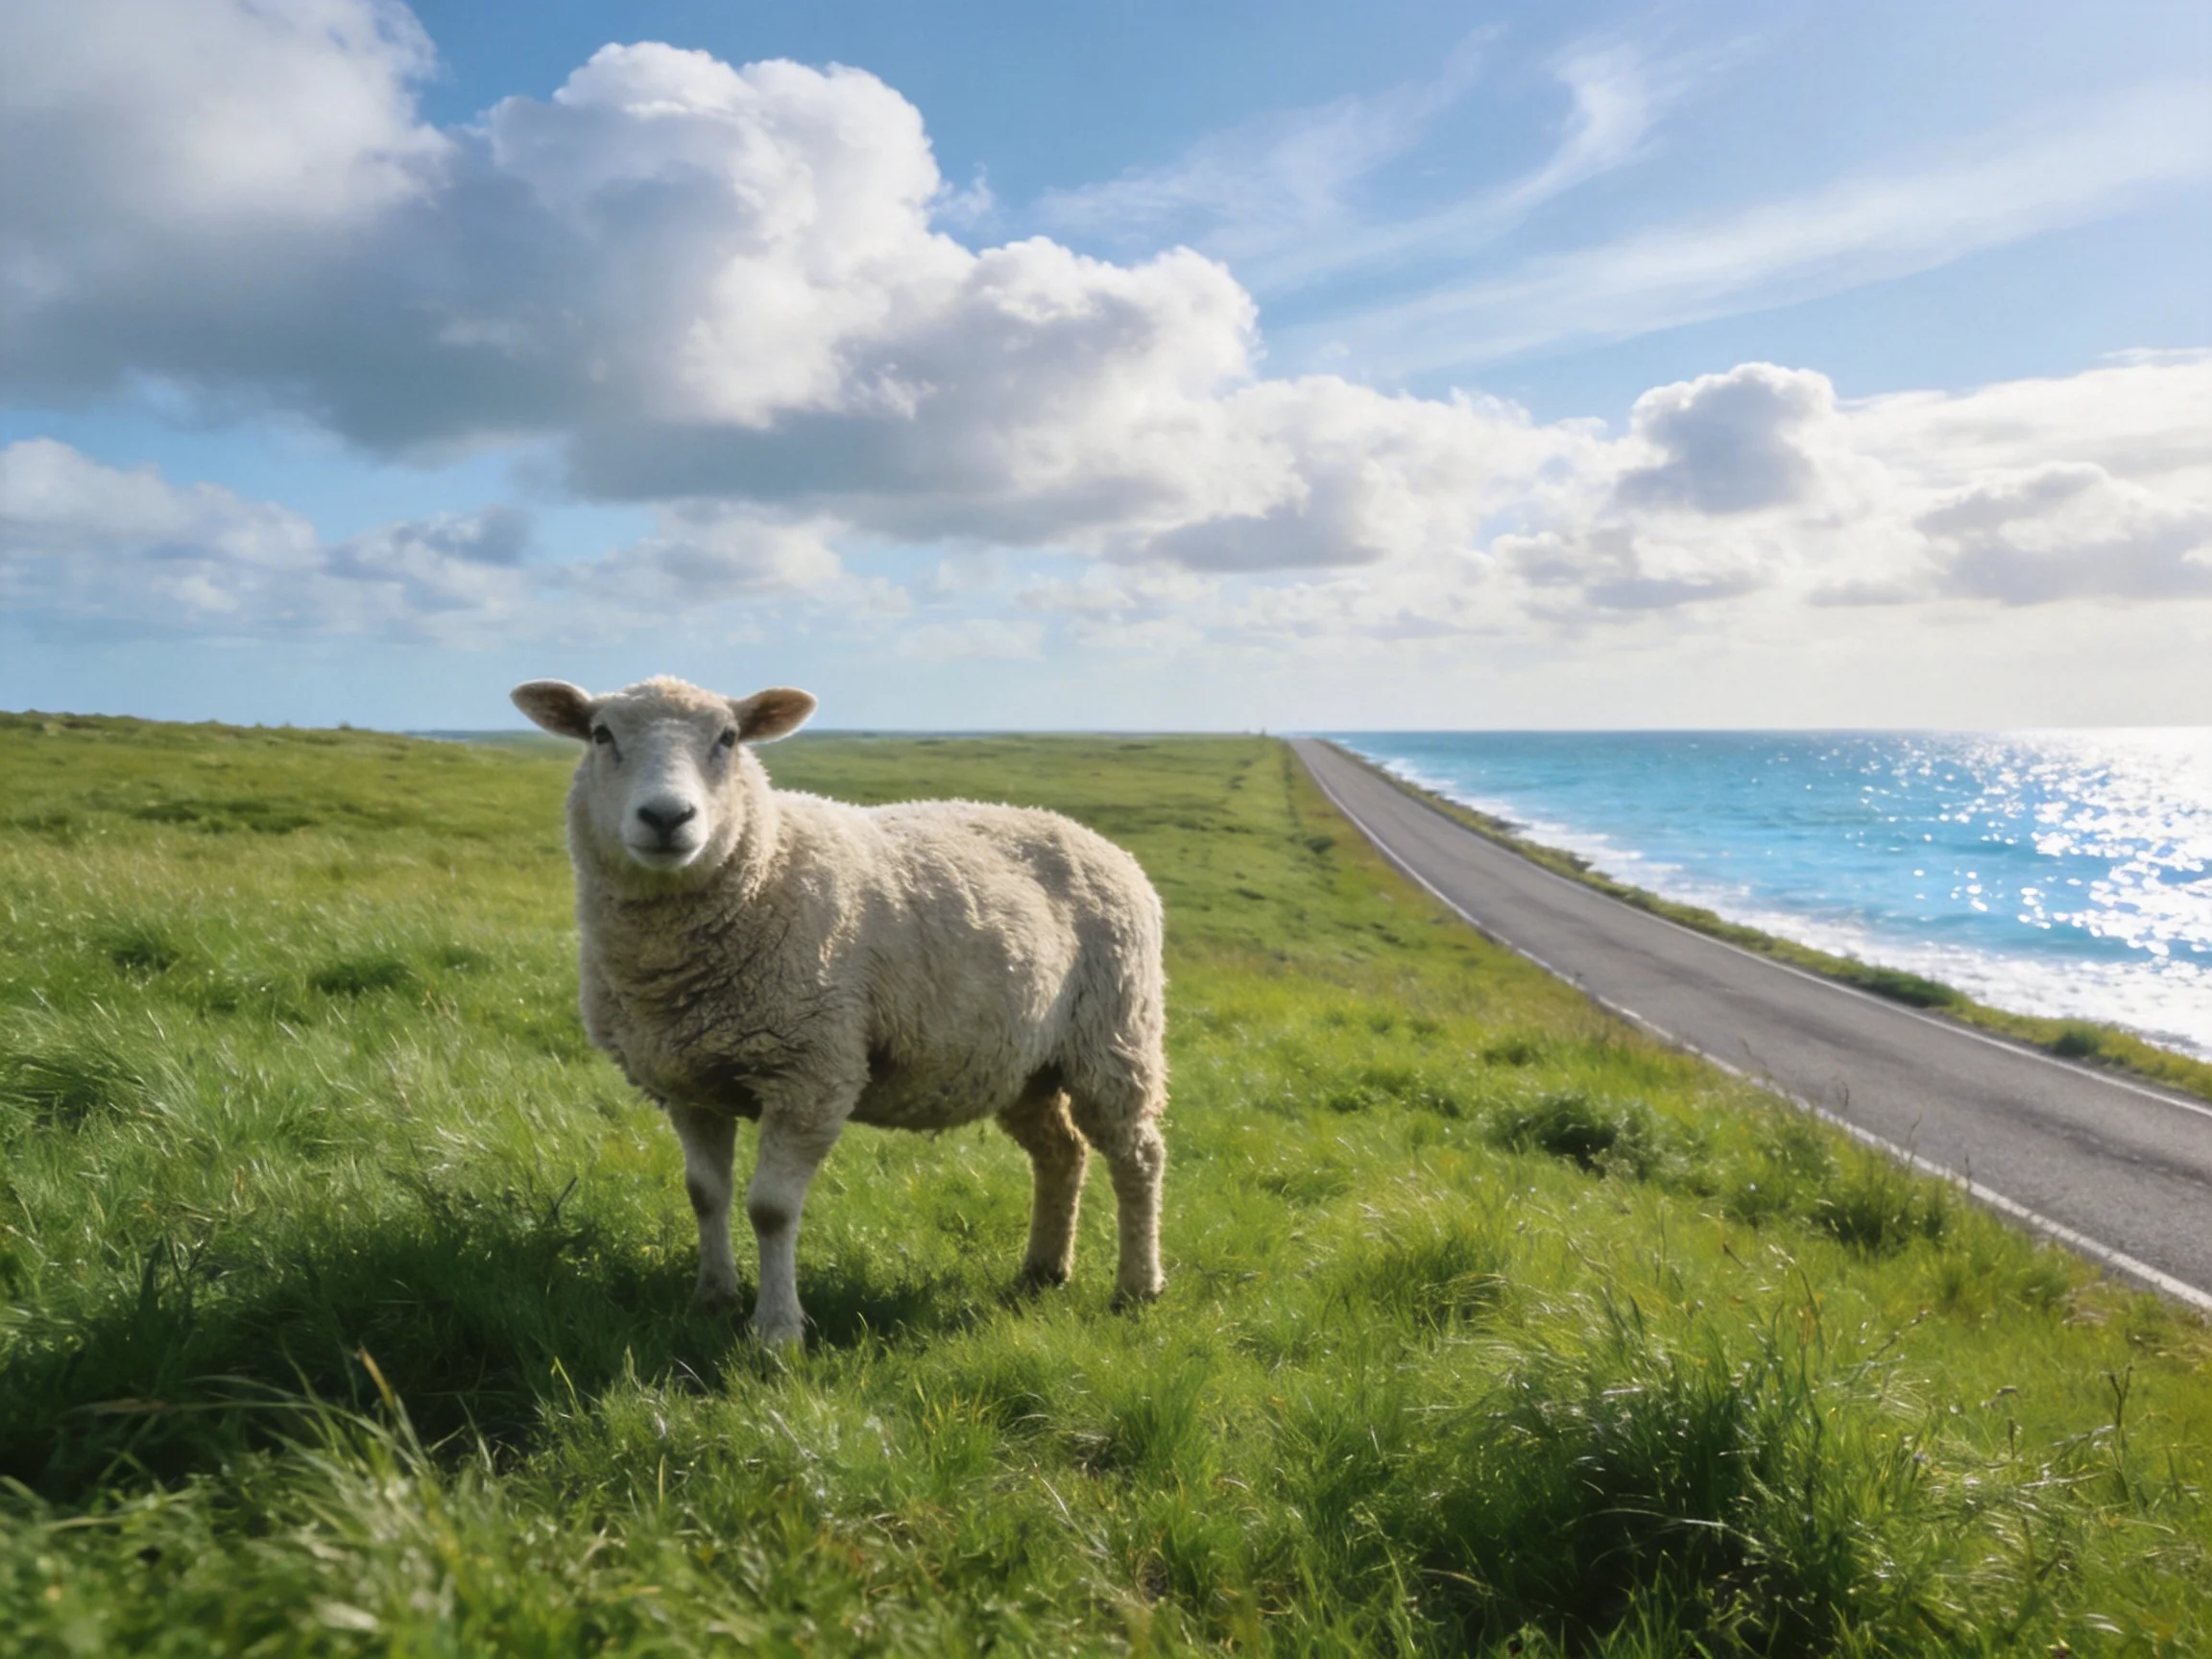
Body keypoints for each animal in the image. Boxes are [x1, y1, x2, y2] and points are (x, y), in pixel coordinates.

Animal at [511, 674, 1168, 1343]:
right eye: (601, 734)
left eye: (729, 737)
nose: (668, 817)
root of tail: (1097, 840)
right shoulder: (686, 1080)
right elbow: (705, 1194)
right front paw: (712, 1297)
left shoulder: (811, 1072)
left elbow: (771, 1210)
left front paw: (777, 1330)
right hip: (1022, 1064)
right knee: (1061, 1152)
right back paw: (1044, 1270)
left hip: (1115, 1035)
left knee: (1137, 1156)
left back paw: (1138, 1286)